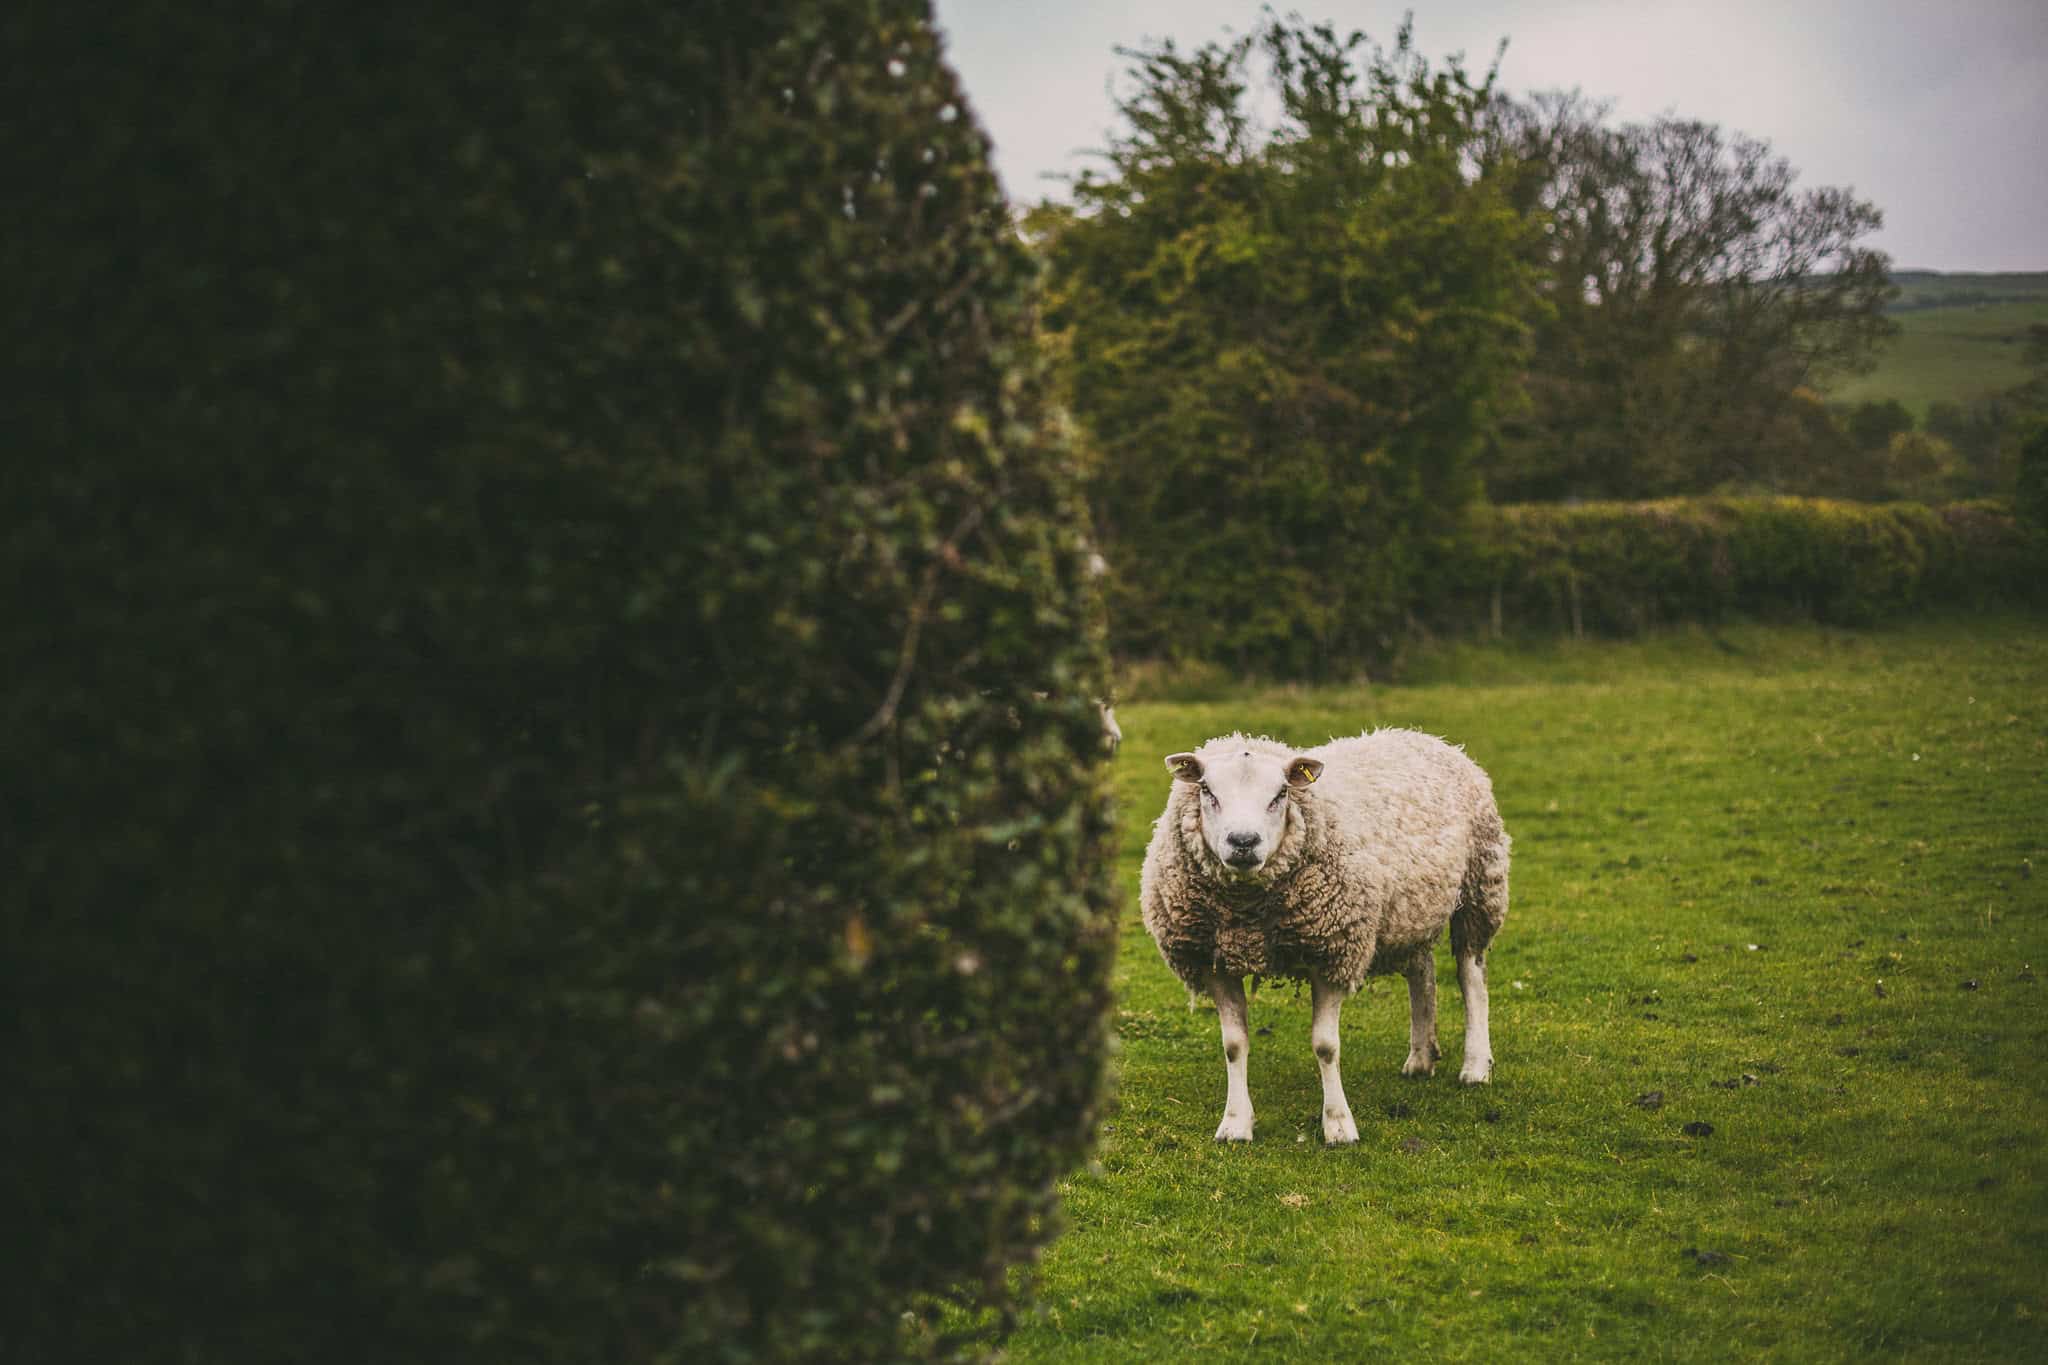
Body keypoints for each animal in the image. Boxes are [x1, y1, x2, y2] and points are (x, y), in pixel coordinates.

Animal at [1146, 736, 1515, 1146]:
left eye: (1281, 793)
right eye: (1207, 790)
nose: (1243, 842)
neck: (1249, 916)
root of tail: (1429, 739)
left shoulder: (1334, 952)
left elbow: (1325, 1047)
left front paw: (1338, 1125)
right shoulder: (1215, 963)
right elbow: (1233, 1046)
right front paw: (1236, 1123)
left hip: (1479, 889)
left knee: (1471, 978)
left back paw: (1476, 1066)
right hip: (1412, 912)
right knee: (1423, 974)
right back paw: (1420, 1058)